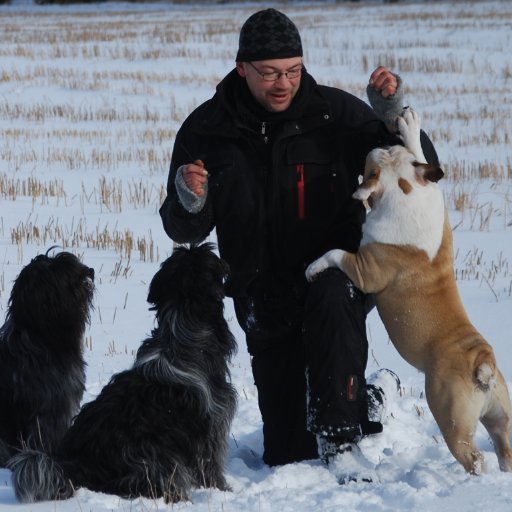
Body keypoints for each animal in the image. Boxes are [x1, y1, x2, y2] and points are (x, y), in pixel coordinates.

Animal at [10, 244, 238, 504]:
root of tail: (75, 465)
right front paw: (222, 490)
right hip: (154, 461)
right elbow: (210, 465)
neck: (183, 335)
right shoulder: (213, 424)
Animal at [306, 109, 512, 476]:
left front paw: (313, 266)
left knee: (472, 456)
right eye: (391, 148)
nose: (383, 142)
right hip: (500, 413)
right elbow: (423, 154)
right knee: (504, 447)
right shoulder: (434, 194)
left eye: (370, 164)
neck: (403, 190)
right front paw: (410, 126)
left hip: (451, 417)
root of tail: (482, 363)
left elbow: (335, 253)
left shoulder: (365, 268)